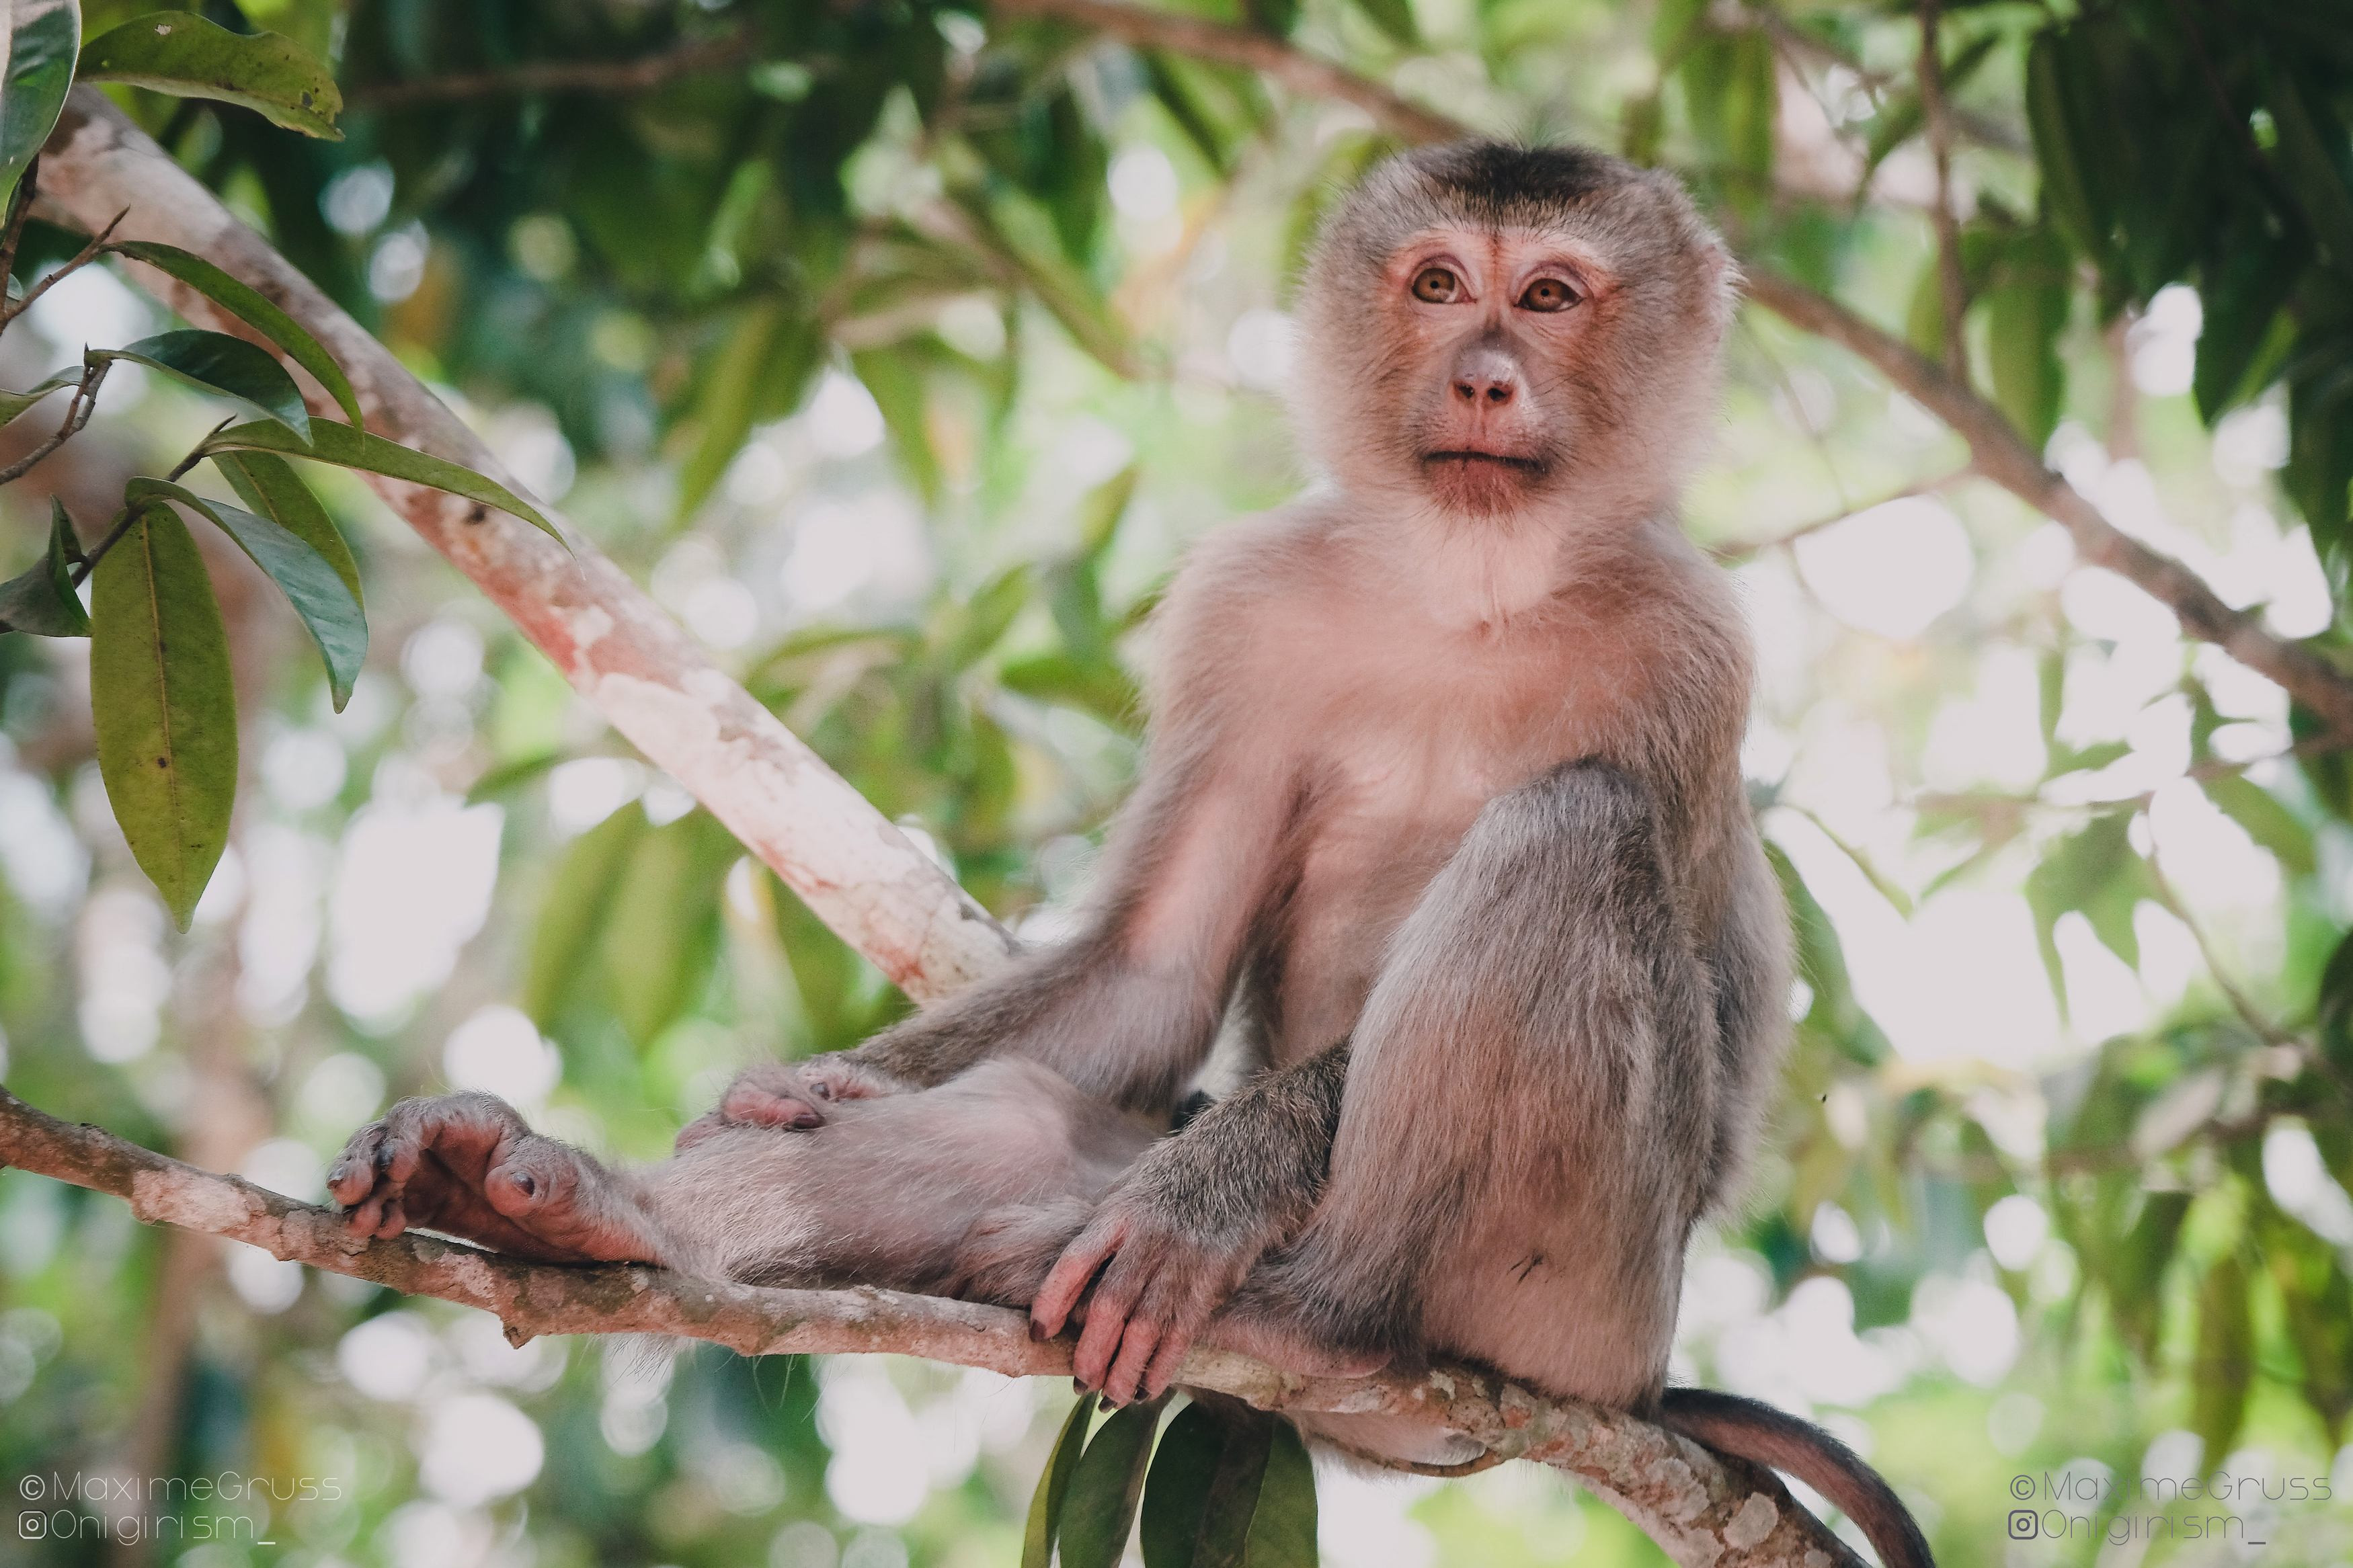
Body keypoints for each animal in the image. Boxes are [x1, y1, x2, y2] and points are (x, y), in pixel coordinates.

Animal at [331, 147, 1929, 1568]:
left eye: (1547, 295)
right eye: (1436, 285)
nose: (1483, 374)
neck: (1468, 591)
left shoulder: (1691, 650)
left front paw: (1203, 1192)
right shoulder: (1246, 607)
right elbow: (1153, 967)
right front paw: (816, 1087)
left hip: (1578, 1302)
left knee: (1574, 827)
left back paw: (1314, 1312)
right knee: (1017, 1123)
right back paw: (584, 1211)